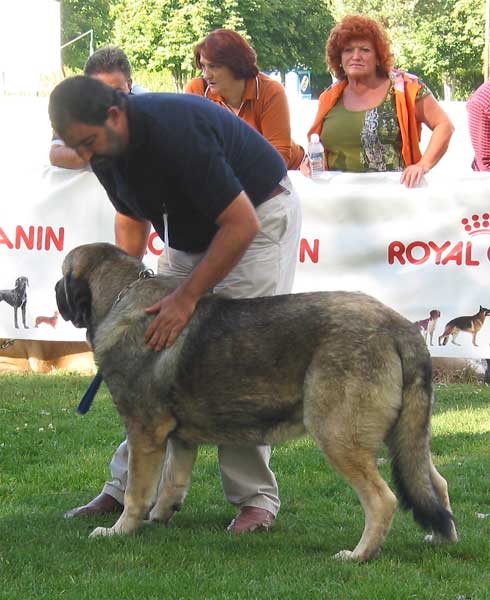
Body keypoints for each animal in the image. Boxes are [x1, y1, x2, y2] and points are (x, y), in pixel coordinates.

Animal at [55, 241, 458, 560]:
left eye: (62, 274)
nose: (56, 289)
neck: (122, 297)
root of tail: (400, 327)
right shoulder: (180, 438)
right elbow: (173, 481)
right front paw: (162, 515)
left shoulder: (144, 432)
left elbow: (137, 491)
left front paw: (120, 530)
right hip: (406, 436)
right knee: (435, 483)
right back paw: (441, 538)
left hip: (338, 436)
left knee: (382, 500)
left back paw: (359, 555)